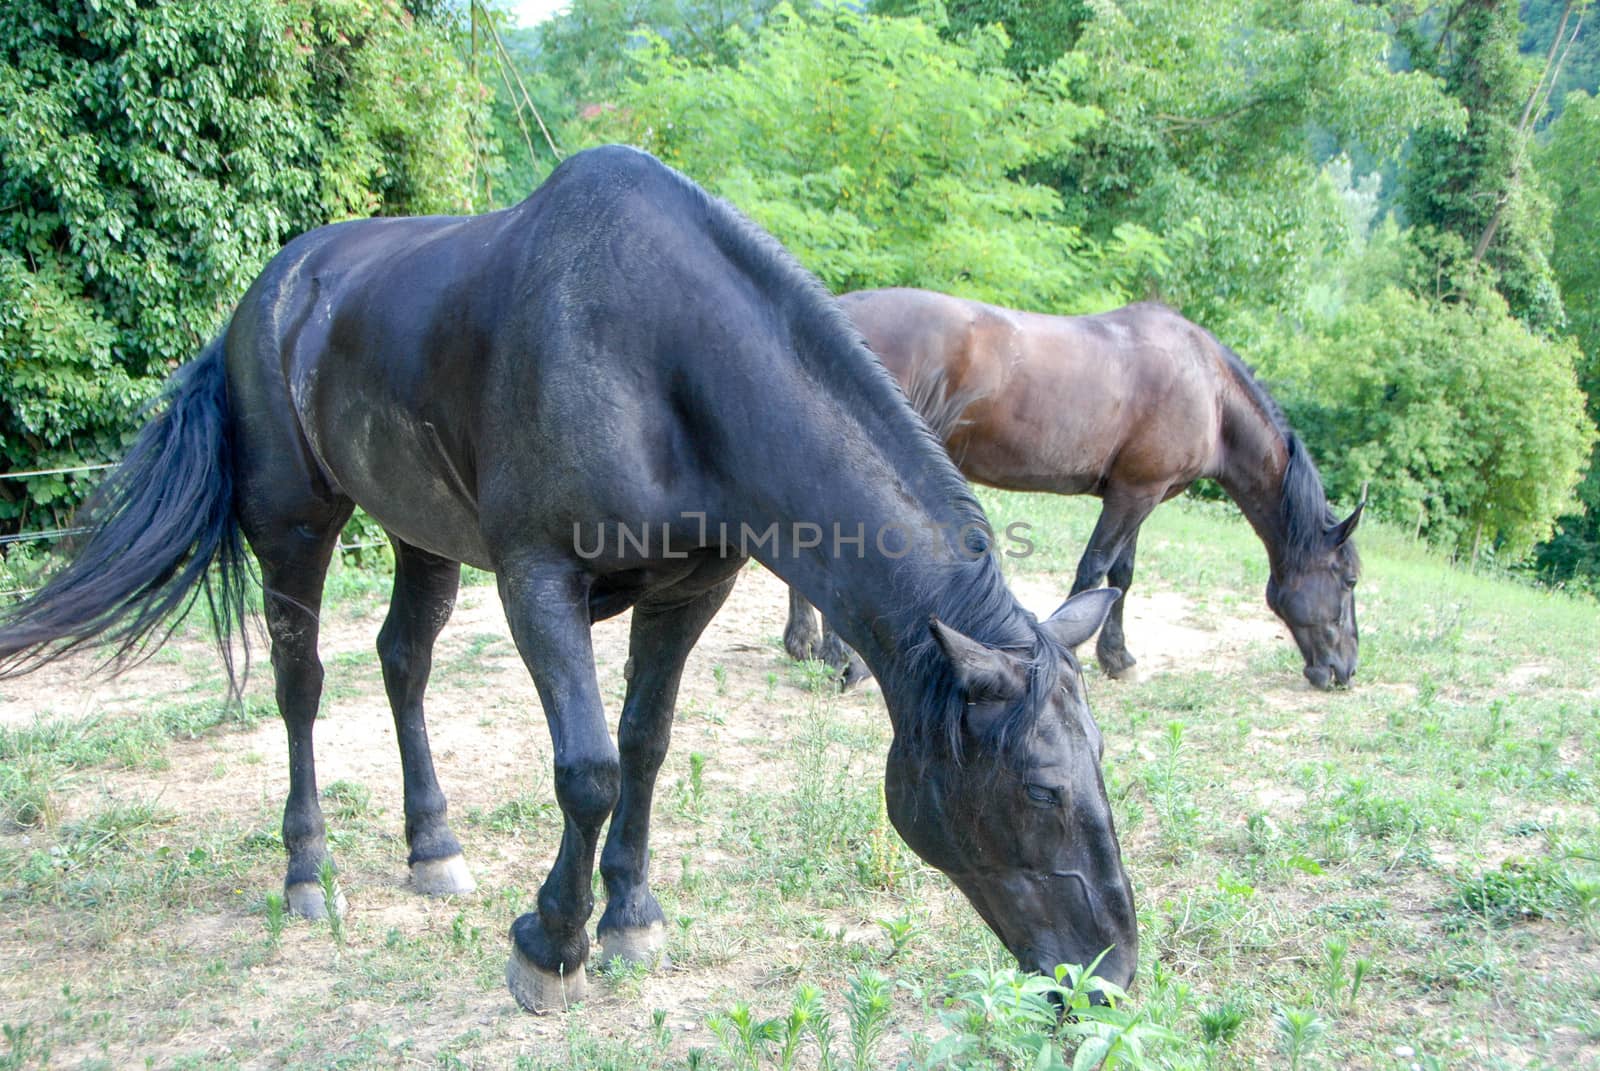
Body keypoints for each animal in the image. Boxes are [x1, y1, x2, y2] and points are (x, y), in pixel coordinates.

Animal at [0, 148, 1139, 1011]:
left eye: (1101, 768)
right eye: (1040, 789)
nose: (1109, 975)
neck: (659, 356)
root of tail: (262, 302)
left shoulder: (689, 589)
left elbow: (644, 745)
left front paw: (630, 915)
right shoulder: (535, 578)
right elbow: (586, 767)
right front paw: (550, 944)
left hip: (420, 533)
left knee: (403, 664)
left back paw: (433, 848)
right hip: (293, 527)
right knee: (302, 684)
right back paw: (307, 871)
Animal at [787, 286, 1363, 685]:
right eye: (1351, 579)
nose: (1345, 670)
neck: (1209, 391)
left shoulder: (1141, 492)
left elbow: (1122, 575)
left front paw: (1118, 657)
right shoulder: (1134, 496)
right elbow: (1095, 568)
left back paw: (805, 644)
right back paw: (837, 654)